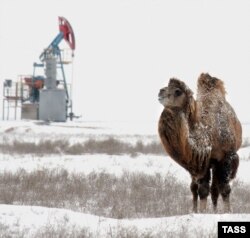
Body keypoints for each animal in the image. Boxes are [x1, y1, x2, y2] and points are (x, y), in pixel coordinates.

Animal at [158, 74, 242, 212]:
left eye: (178, 91)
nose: (160, 92)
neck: (209, 135)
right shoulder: (202, 161)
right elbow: (202, 190)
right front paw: (201, 212)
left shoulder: (227, 157)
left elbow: (224, 188)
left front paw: (227, 211)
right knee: (195, 188)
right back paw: (196, 209)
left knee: (215, 188)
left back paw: (214, 210)